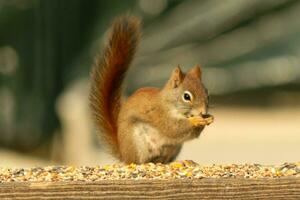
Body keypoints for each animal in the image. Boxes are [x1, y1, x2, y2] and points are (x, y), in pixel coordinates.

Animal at [89, 14, 213, 163]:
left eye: (207, 93)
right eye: (186, 96)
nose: (203, 111)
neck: (170, 103)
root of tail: (124, 154)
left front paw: (209, 118)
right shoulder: (159, 114)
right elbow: (173, 129)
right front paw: (196, 121)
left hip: (173, 147)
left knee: (161, 160)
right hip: (137, 142)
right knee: (140, 161)